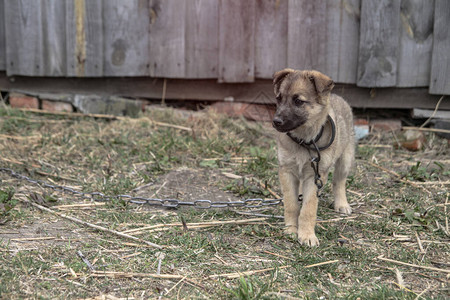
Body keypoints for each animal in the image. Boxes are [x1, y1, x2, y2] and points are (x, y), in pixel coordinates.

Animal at [270, 69, 356, 247]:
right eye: (279, 98)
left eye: (298, 101)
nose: (276, 122)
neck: (304, 142)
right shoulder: (287, 171)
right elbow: (291, 204)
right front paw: (291, 229)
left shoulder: (316, 175)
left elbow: (308, 208)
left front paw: (307, 235)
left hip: (345, 160)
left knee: (339, 183)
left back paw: (342, 204)